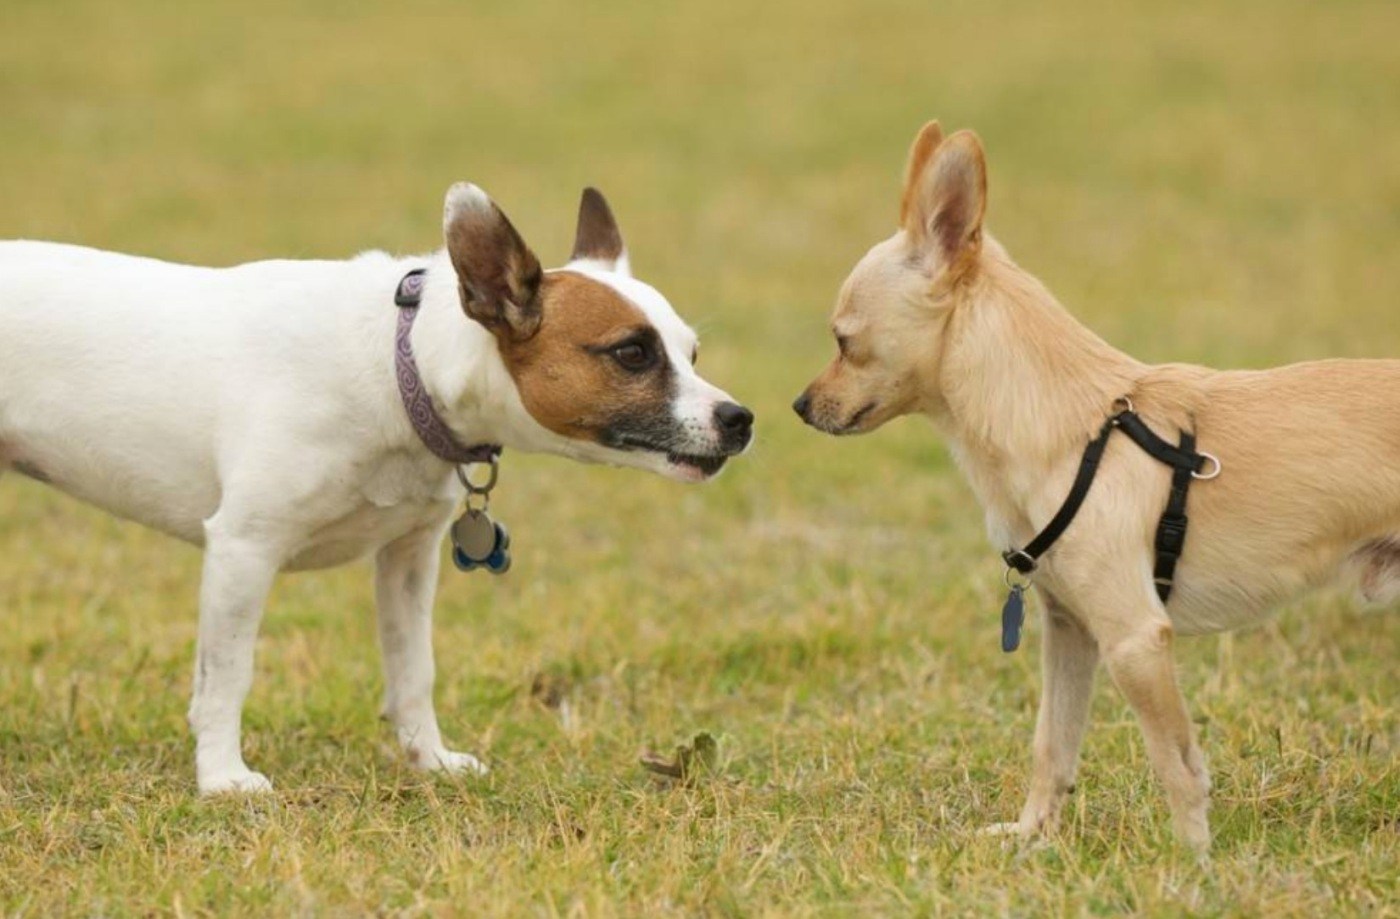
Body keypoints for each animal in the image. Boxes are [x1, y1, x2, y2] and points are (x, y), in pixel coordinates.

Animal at [0, 183, 756, 795]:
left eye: (691, 353)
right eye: (632, 353)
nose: (739, 418)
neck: (402, 364)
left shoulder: (409, 559)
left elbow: (412, 671)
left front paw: (431, 761)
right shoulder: (244, 550)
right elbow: (226, 676)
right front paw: (222, 778)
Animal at [795, 118, 1394, 851]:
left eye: (843, 342)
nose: (799, 405)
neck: (1068, 423)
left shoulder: (1134, 639)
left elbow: (1176, 765)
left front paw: (1192, 861)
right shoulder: (1069, 630)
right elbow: (1052, 746)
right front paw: (1029, 837)